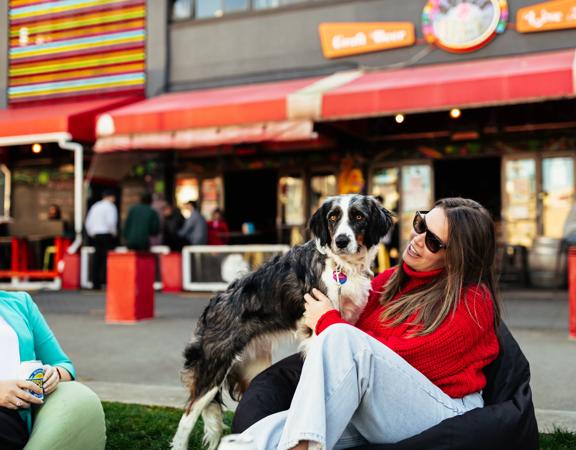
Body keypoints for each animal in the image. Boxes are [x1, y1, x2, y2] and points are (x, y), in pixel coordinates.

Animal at [170, 193, 392, 450]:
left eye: (358, 216)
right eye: (333, 217)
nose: (341, 241)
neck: (341, 266)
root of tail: (214, 303)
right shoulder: (317, 331)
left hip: (252, 368)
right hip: (213, 368)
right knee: (187, 419)